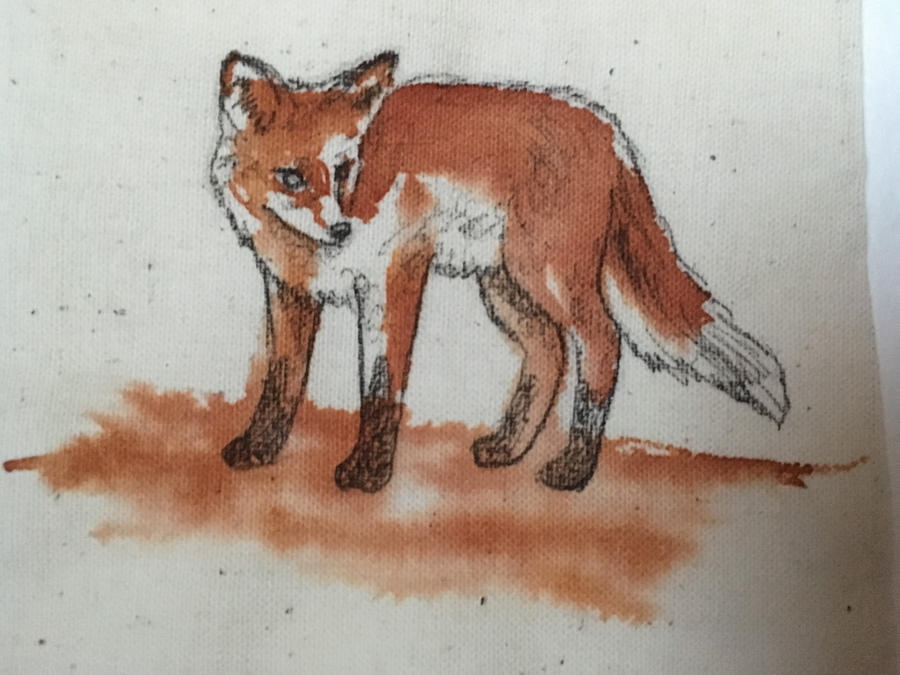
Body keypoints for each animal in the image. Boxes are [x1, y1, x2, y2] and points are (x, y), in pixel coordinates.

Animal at [210, 51, 789, 493]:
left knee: (603, 342)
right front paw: (259, 449)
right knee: (550, 352)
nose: (340, 230)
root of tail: (606, 129)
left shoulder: (395, 276)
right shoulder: (289, 290)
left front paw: (369, 473)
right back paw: (510, 447)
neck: (305, 248)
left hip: (546, 274)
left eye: (346, 170)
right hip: (505, 286)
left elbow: (380, 388)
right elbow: (282, 379)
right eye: (291, 177)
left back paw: (574, 469)